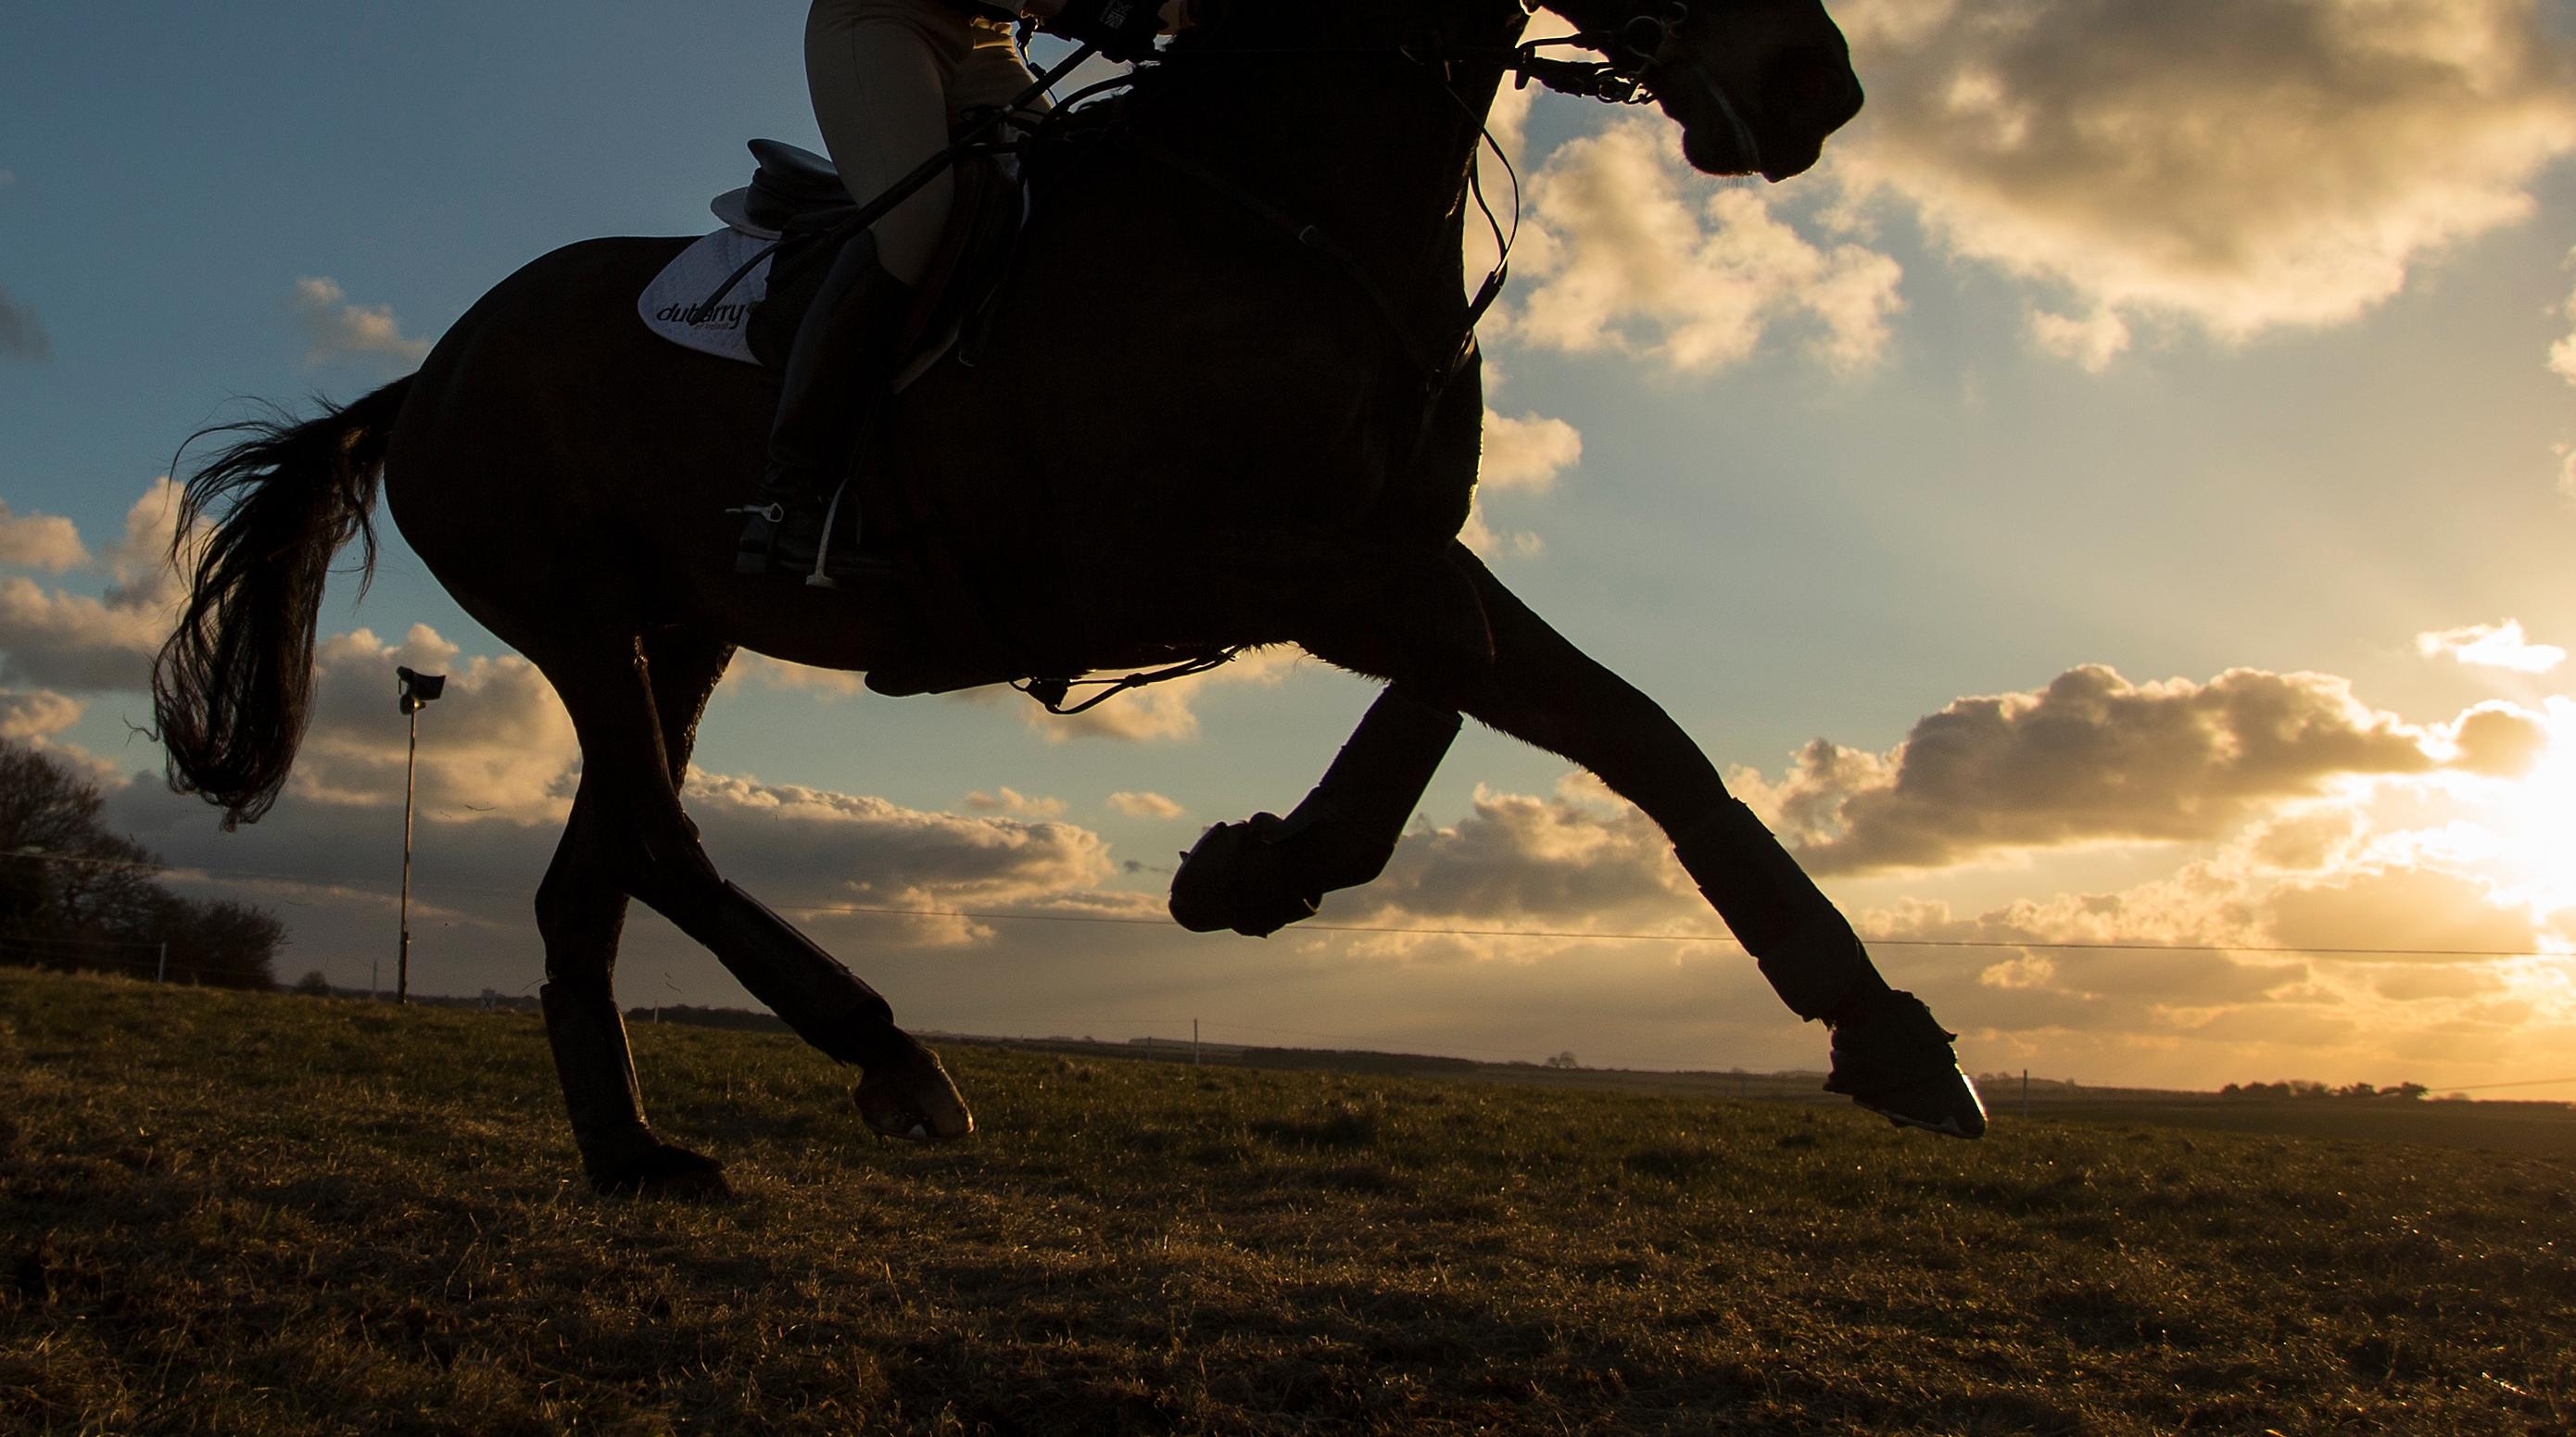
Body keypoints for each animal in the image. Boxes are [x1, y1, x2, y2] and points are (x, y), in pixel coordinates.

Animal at [150, 0, 1978, 1200]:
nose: (1813, 81)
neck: (1287, 200)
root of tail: (431, 368)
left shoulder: (1378, 543)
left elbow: (1571, 712)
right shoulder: (1264, 559)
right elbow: (1553, 700)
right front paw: (1258, 868)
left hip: (684, 626)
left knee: (594, 871)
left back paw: (637, 1149)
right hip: (579, 609)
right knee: (658, 839)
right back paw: (886, 1055)